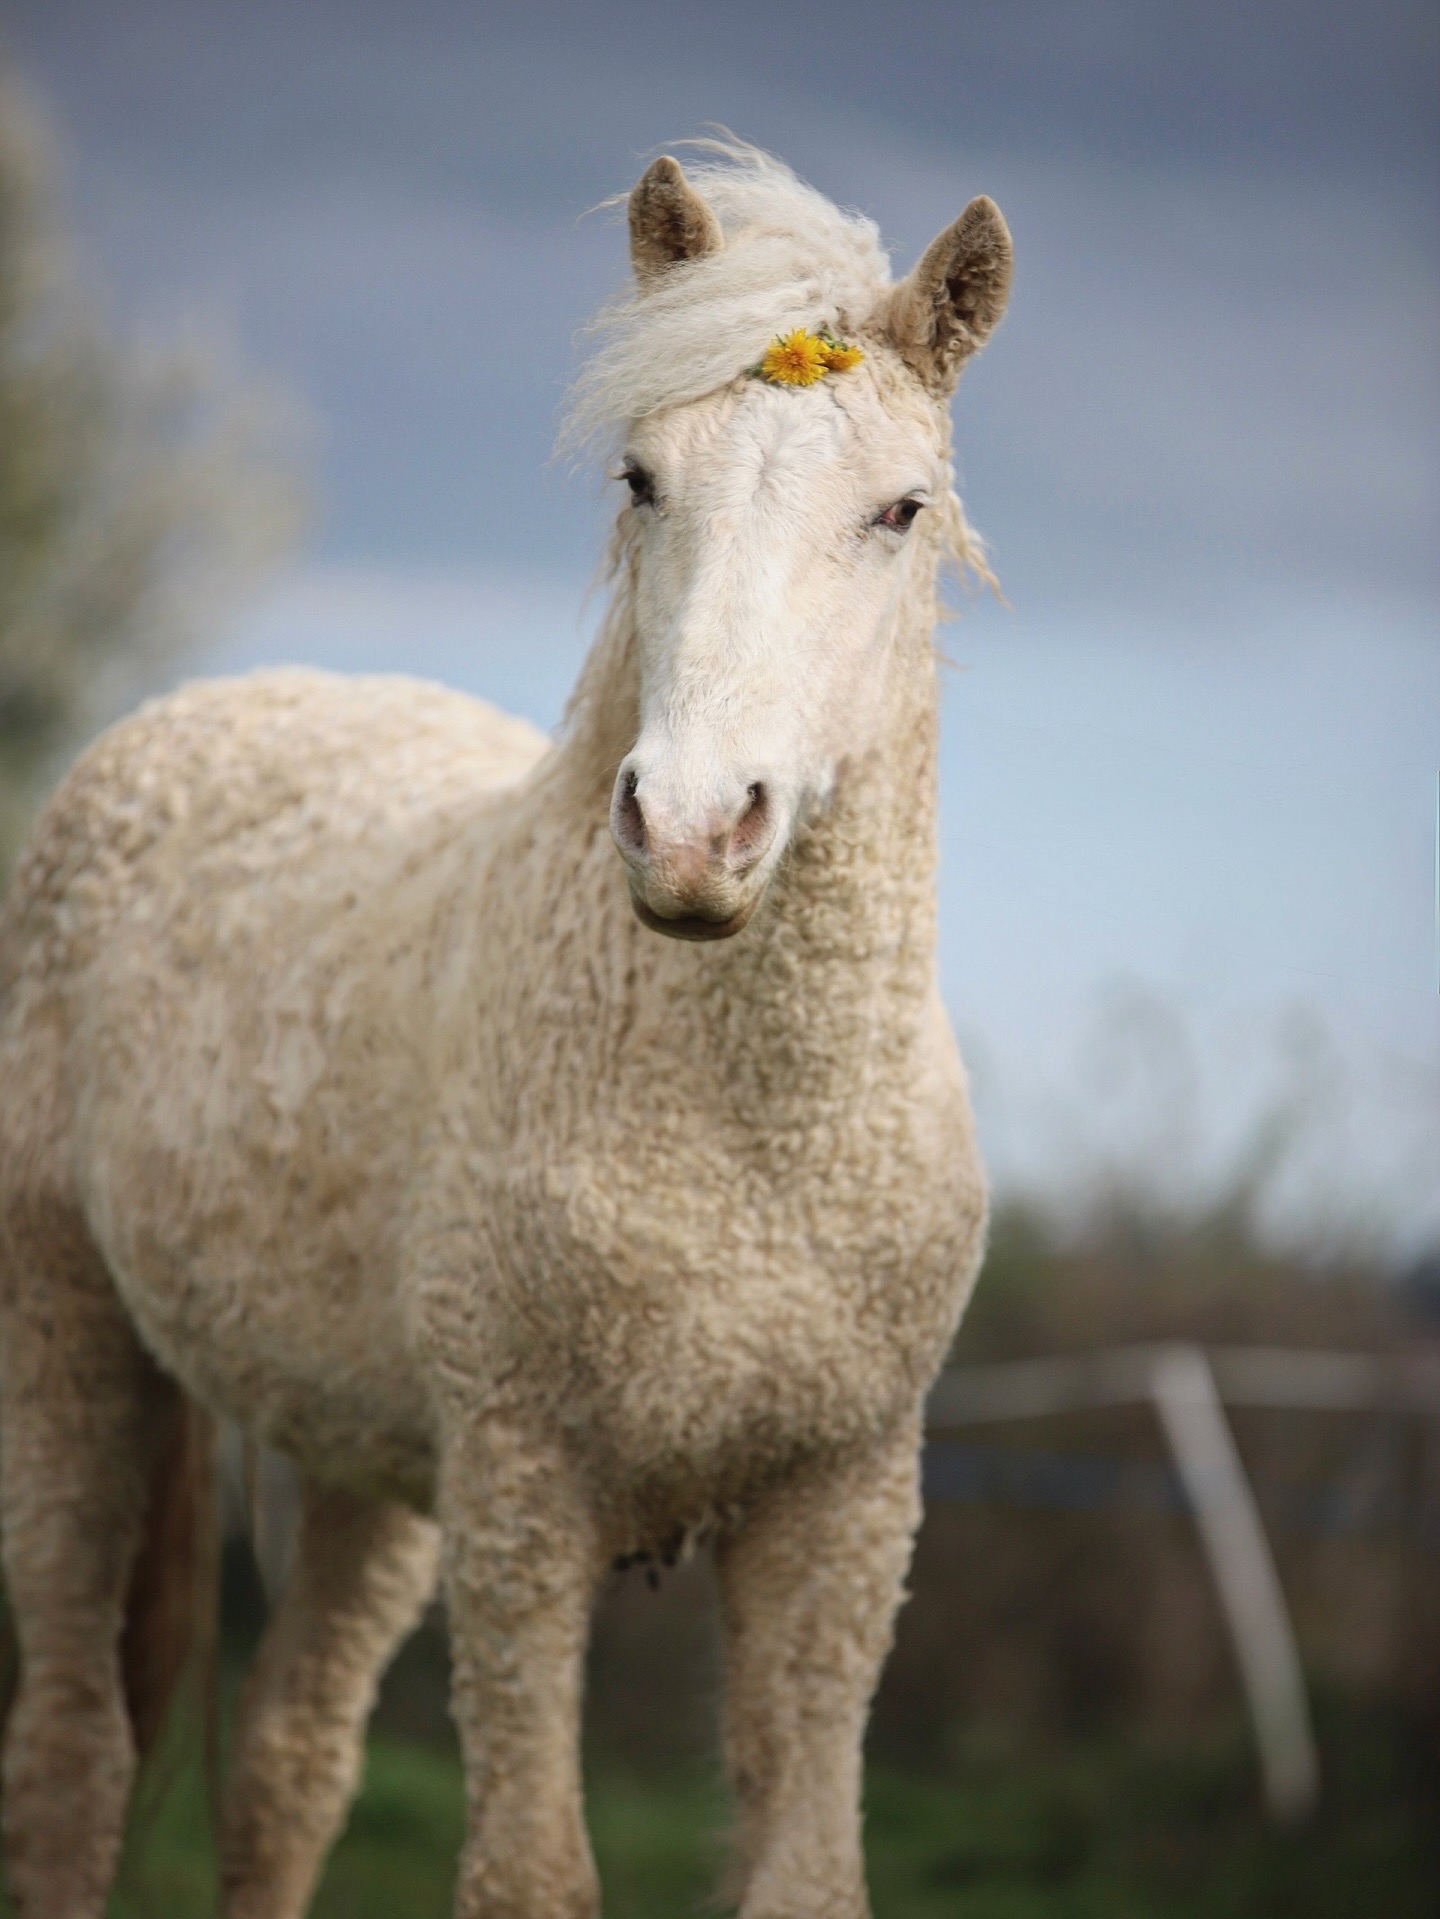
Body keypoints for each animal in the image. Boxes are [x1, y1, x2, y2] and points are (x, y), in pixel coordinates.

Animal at [0, 141, 1010, 1918]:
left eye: (899, 510)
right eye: (641, 478)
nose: (694, 831)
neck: (753, 1136)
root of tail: (197, 717)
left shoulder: (837, 1509)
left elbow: (806, 1869)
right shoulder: (528, 1495)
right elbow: (529, 1870)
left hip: (367, 1470)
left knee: (285, 1766)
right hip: (70, 1351)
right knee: (70, 1761)